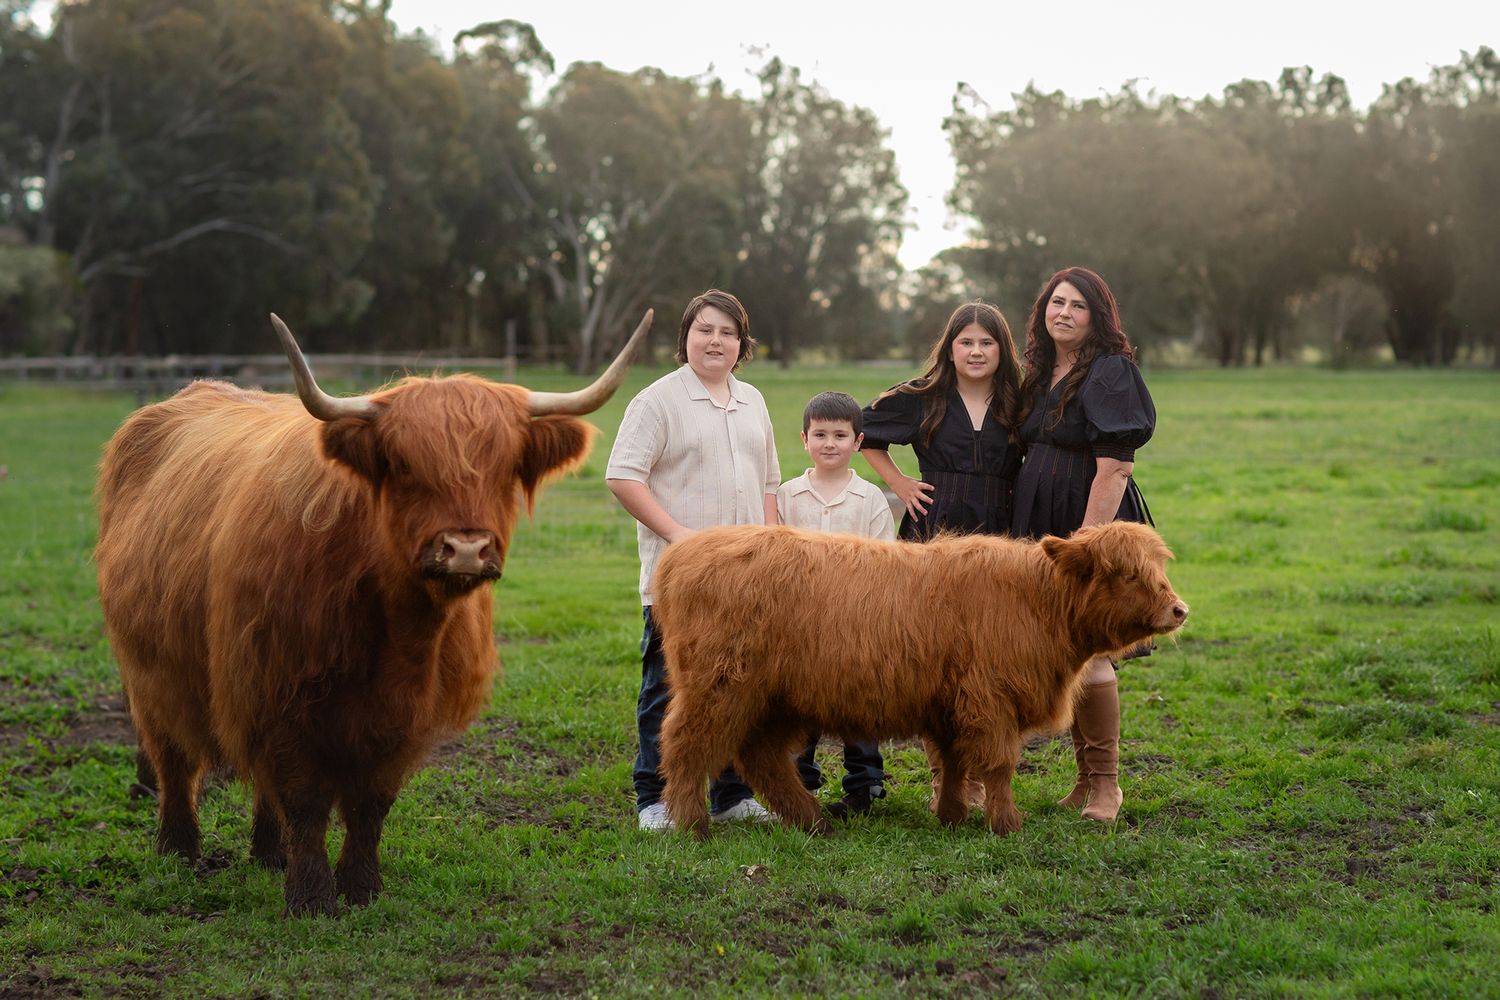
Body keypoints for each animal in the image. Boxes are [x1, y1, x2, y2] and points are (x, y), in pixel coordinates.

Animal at [95, 311, 650, 916]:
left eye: (505, 468)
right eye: (404, 465)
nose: (465, 549)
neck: (393, 630)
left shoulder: (406, 714)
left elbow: (370, 803)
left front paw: (360, 887)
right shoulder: (278, 693)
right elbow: (305, 798)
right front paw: (311, 897)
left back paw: (268, 852)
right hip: (155, 669)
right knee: (172, 757)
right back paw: (178, 848)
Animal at [653, 520, 1188, 839]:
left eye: (1156, 568)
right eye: (1126, 574)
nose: (1178, 609)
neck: (1037, 602)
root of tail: (685, 550)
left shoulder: (950, 703)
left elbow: (953, 761)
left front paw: (951, 815)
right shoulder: (990, 698)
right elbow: (998, 765)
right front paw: (1006, 823)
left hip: (776, 700)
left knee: (761, 757)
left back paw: (814, 821)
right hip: (718, 687)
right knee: (685, 745)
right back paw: (693, 825)